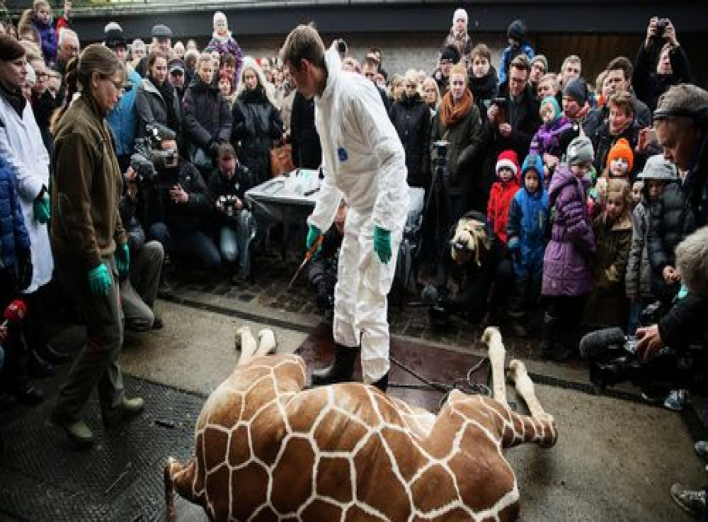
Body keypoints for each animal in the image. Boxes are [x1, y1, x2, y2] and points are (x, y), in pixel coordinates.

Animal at [166, 322, 560, 516]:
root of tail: (196, 480)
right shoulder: (471, 411)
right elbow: (548, 426)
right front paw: (505, 353)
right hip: (287, 367)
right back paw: (253, 332)